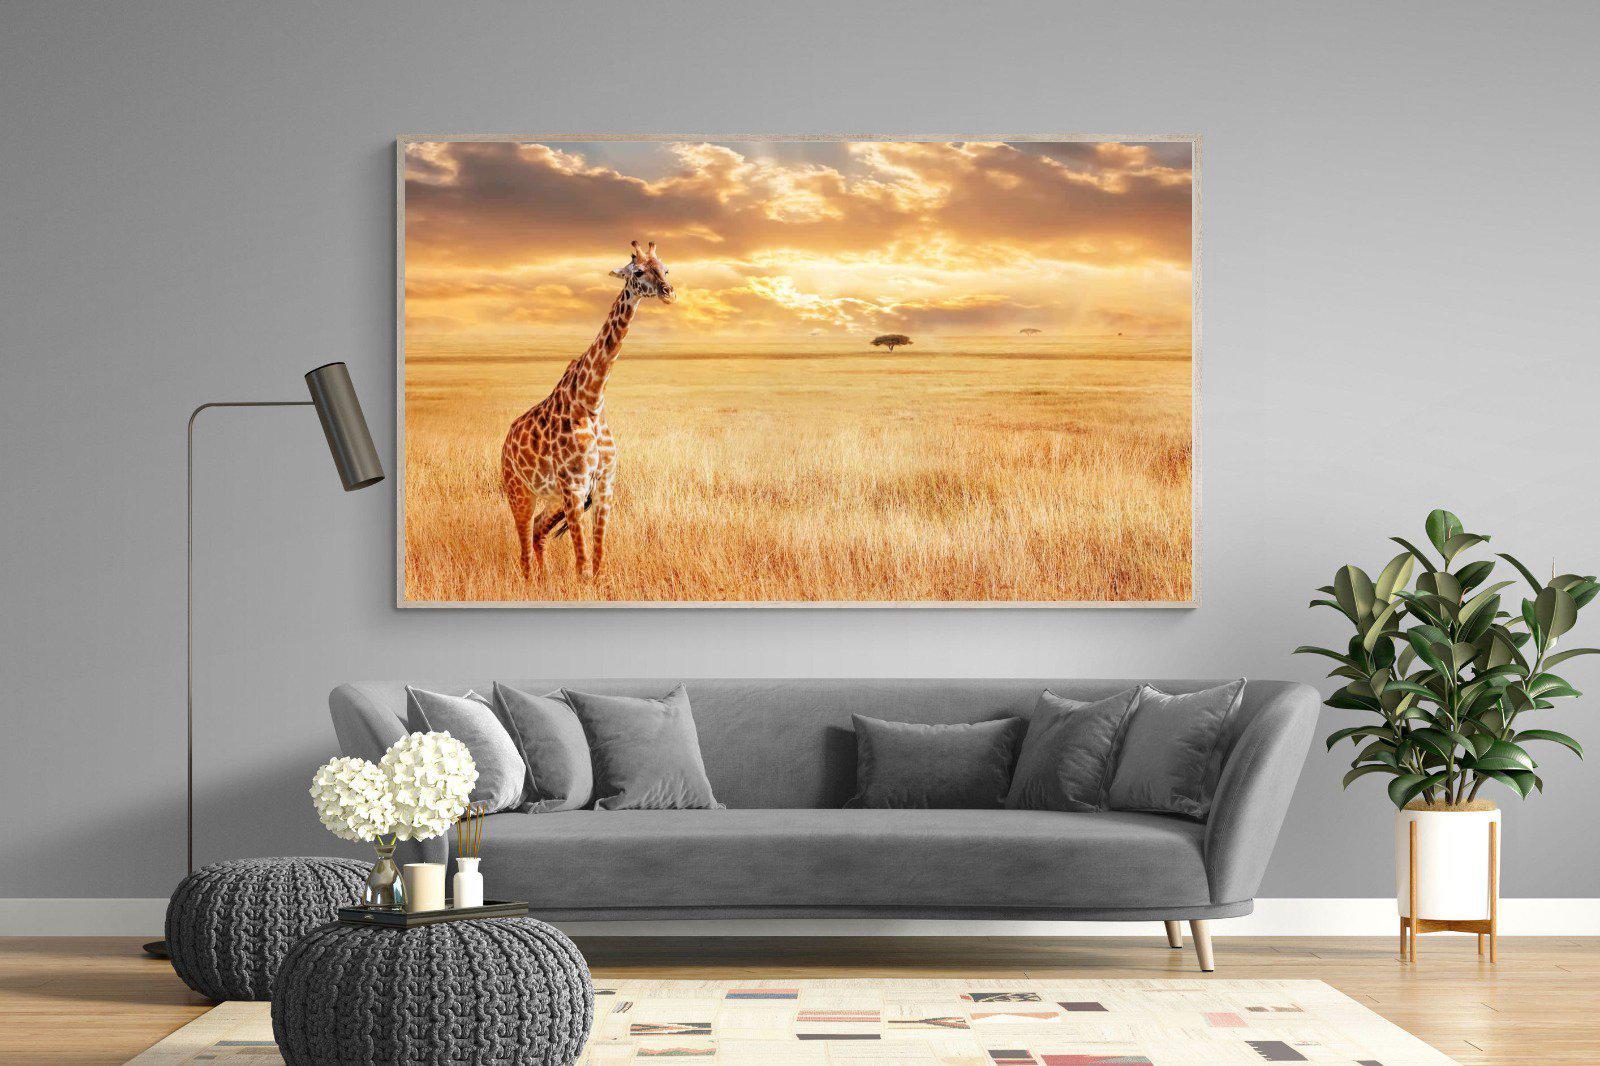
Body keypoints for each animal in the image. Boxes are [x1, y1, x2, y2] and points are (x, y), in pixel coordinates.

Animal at [500, 240, 675, 580]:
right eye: (637, 271)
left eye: (665, 269)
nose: (669, 292)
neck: (592, 400)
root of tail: (505, 443)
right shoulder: (575, 485)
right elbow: (582, 566)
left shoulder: (604, 485)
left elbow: (598, 560)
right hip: (520, 491)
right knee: (524, 548)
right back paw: (532, 581)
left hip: (554, 498)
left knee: (538, 532)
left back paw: (545, 580)